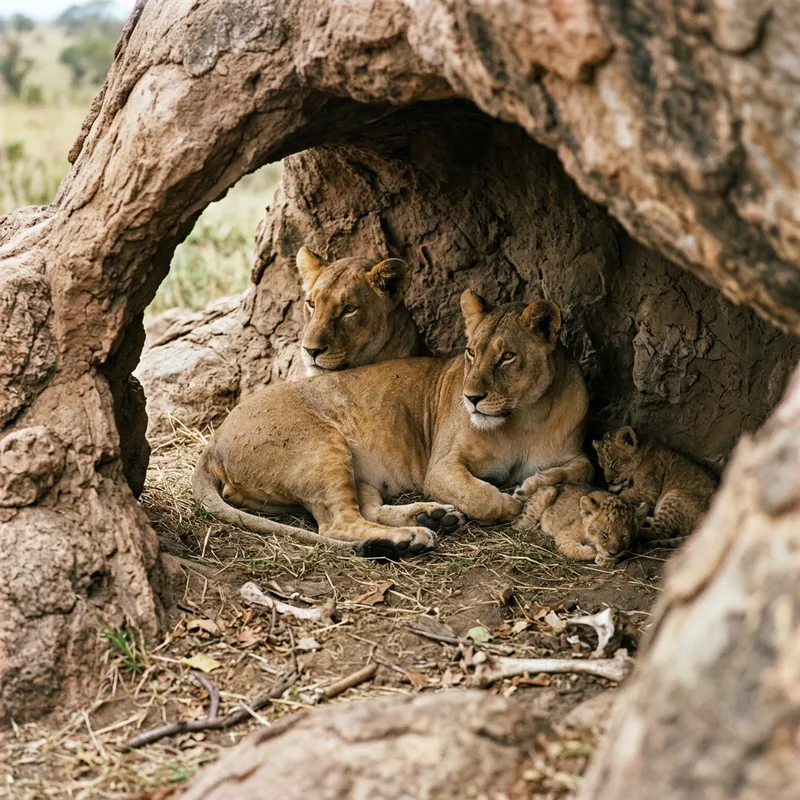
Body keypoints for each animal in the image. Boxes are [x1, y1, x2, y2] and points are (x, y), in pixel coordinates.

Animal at [193, 290, 593, 558]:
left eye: (507, 357)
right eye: (471, 353)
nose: (471, 398)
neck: (524, 416)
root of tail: (213, 441)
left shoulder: (575, 452)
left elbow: (582, 470)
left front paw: (531, 485)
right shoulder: (441, 467)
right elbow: (481, 497)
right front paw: (512, 502)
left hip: (348, 473)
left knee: (365, 509)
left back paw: (433, 518)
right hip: (321, 446)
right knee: (339, 523)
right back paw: (414, 537)